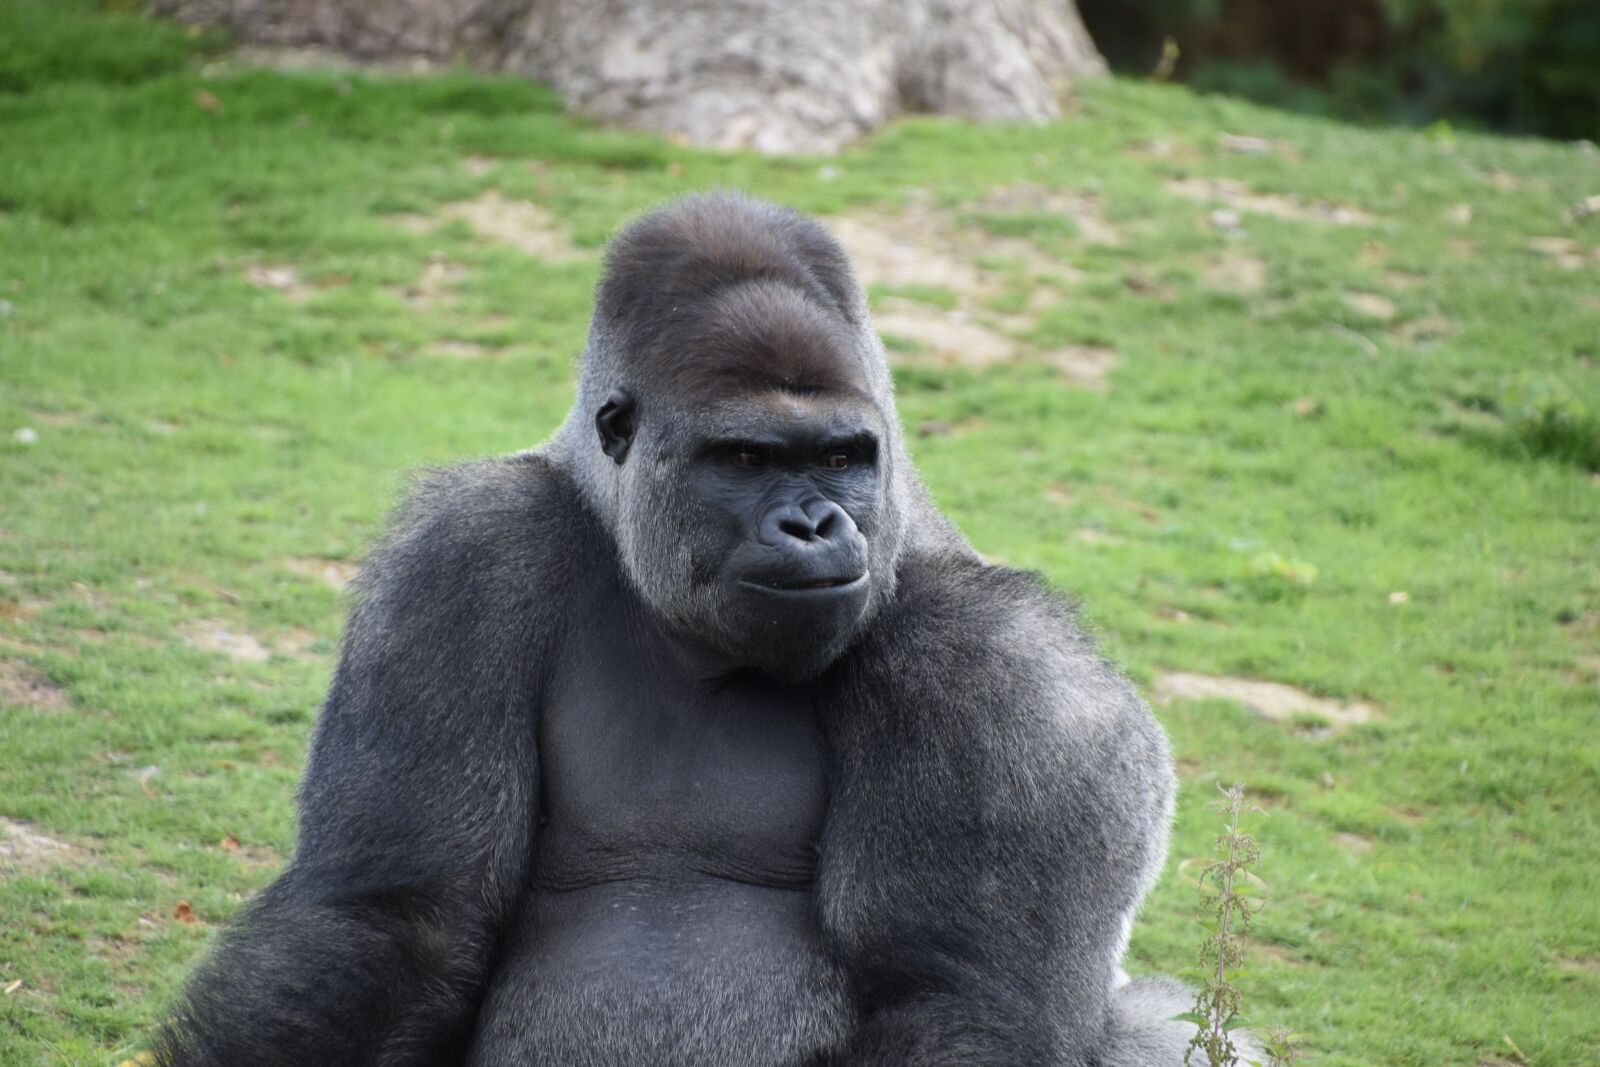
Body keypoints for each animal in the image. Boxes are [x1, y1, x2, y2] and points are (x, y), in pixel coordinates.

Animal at [158, 191, 1240, 1066]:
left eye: (842, 455)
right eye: (747, 458)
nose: (814, 523)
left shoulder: (1000, 665)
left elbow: (957, 997)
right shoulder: (461, 562)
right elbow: (392, 922)